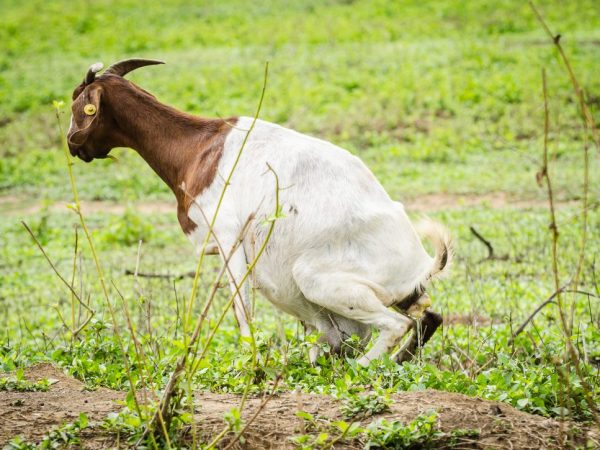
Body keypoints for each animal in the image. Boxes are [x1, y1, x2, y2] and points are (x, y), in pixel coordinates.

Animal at [67, 59, 450, 366]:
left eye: (78, 105)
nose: (73, 145)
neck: (200, 148)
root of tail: (421, 263)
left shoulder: (228, 240)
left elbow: (243, 310)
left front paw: (250, 363)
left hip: (315, 279)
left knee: (397, 324)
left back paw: (361, 367)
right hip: (390, 296)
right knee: (426, 316)